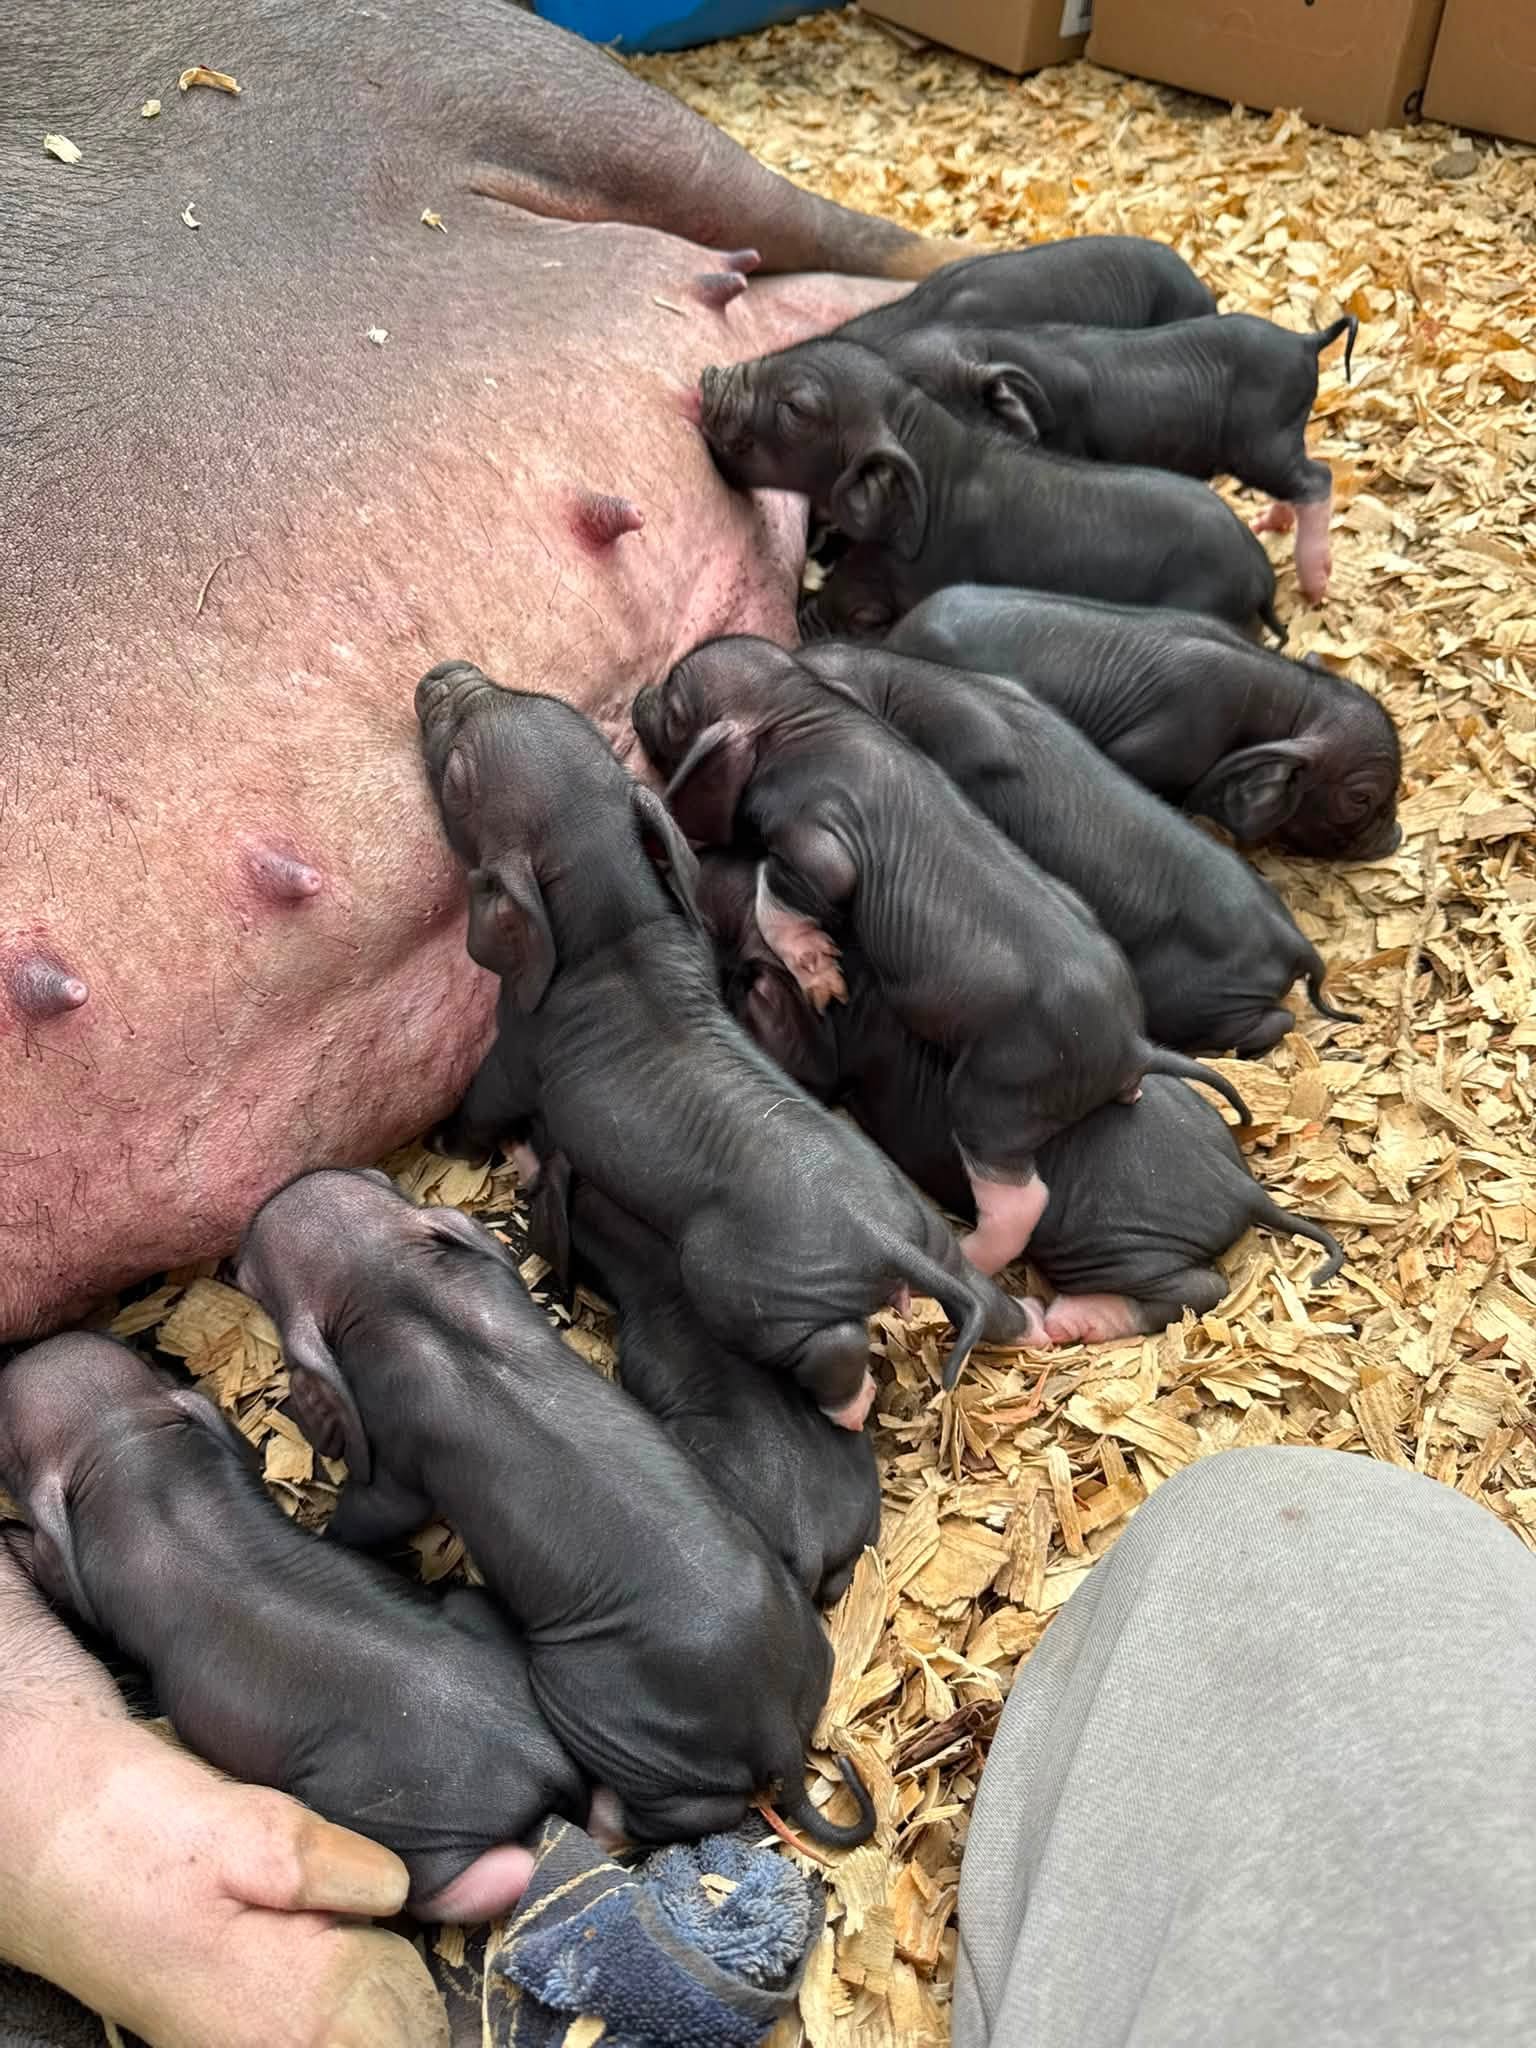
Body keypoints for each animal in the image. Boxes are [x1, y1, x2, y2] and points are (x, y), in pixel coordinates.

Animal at [0, 1328, 588, 1922]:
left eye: (8, 1447)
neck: (126, 1450)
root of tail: (535, 1751)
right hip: (476, 1608)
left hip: (411, 1826)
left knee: (463, 1884)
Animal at [415, 660, 1038, 1429]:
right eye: (556, 705)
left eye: (459, 775)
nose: (445, 673)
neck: (616, 931)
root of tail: (881, 1239)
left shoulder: (518, 1050)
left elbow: (483, 1107)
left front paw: (443, 1142)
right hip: (928, 1226)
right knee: (980, 1291)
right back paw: (1036, 1319)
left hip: (742, 1289)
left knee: (832, 1351)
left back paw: (851, 1408)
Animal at [635, 636, 1253, 1277]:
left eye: (675, 708)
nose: (639, 697)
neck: (806, 714)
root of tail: (1131, 1043)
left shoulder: (816, 836)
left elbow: (780, 892)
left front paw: (823, 980)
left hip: (995, 1094)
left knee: (1020, 1196)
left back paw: (971, 1255)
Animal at [877, 313, 1357, 600]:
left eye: (914, 385)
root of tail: (1304, 341)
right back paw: (1267, 525)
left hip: (1261, 443)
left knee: (1318, 478)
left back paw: (1315, 587)